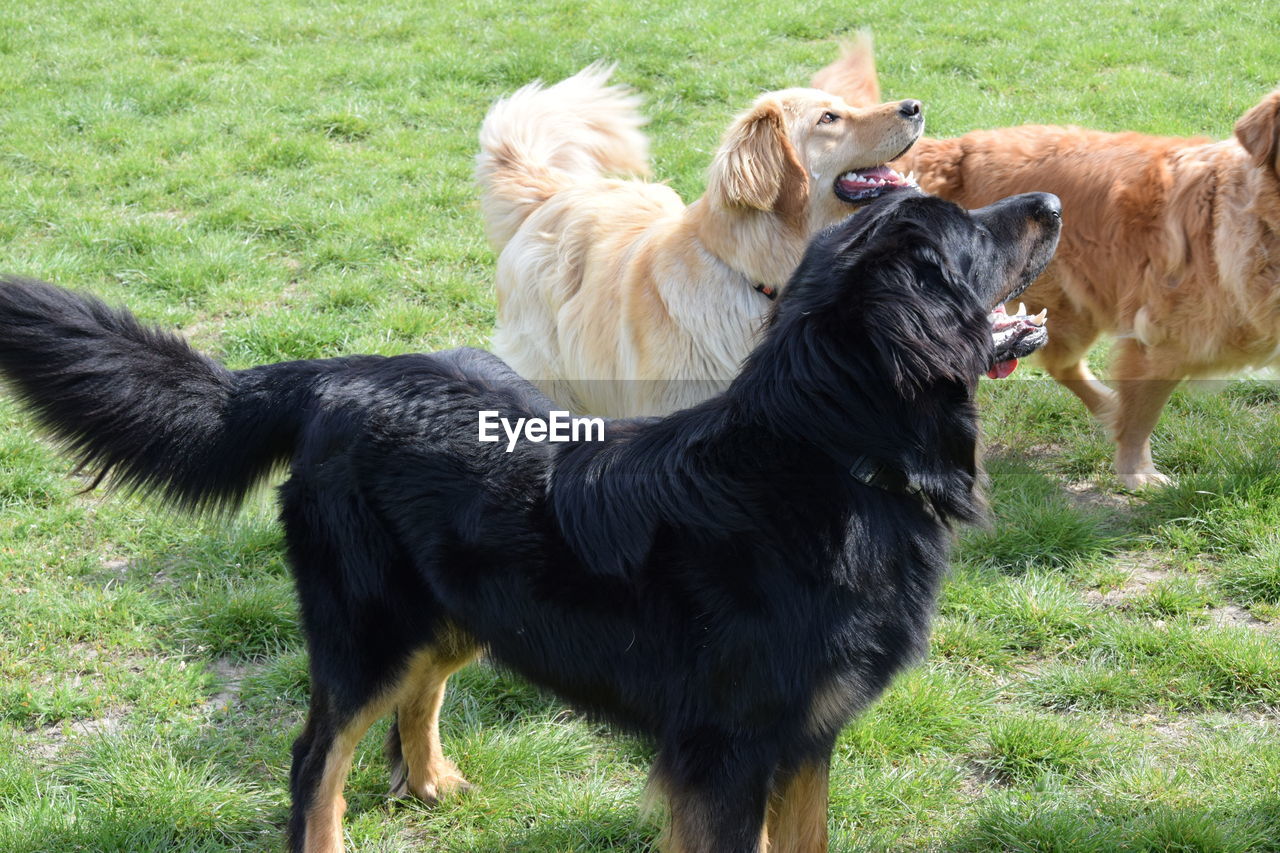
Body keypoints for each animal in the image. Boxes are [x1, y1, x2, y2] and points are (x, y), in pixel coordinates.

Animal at [0, 189, 1059, 845]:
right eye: (968, 234)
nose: (1050, 204)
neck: (829, 456)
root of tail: (334, 373)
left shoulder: (803, 740)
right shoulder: (725, 754)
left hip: (466, 608)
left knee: (417, 696)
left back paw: (431, 782)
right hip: (366, 628)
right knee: (316, 757)